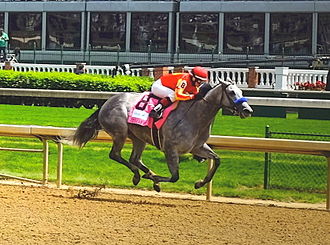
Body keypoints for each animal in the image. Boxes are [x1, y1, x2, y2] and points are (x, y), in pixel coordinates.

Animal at [72, 80, 253, 191]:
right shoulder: (170, 148)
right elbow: (175, 177)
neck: (195, 116)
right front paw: (157, 181)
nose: (248, 110)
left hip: (139, 137)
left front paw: (199, 183)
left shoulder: (197, 147)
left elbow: (217, 159)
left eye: (240, 91)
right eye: (231, 92)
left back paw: (147, 173)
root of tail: (106, 103)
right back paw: (139, 175)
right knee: (115, 155)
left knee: (134, 159)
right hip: (120, 133)